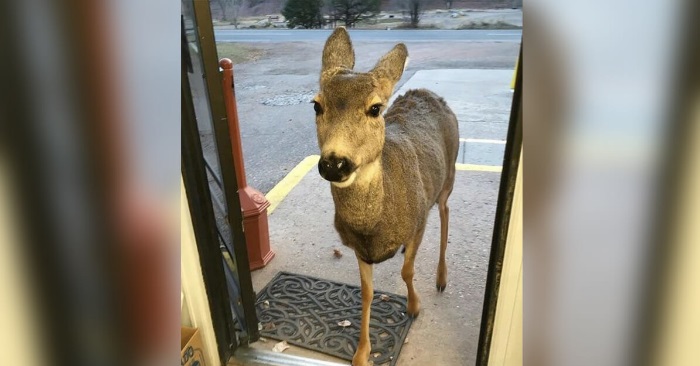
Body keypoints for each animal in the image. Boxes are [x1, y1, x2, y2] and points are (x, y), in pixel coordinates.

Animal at [314, 27, 460, 364]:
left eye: (375, 108)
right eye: (316, 105)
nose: (334, 163)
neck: (374, 225)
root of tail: (427, 92)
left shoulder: (418, 221)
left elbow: (407, 270)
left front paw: (414, 306)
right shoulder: (358, 248)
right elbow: (367, 292)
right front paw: (361, 352)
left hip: (449, 176)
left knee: (445, 211)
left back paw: (441, 278)